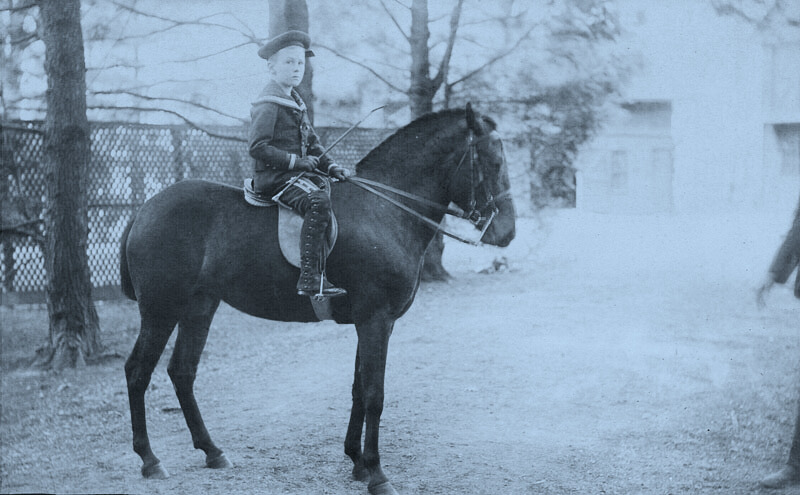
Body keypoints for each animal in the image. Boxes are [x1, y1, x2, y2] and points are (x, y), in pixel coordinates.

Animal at [120, 103, 516, 495]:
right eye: (494, 162)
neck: (384, 209)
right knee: (138, 371)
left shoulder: (371, 323)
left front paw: (357, 462)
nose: (507, 233)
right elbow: (374, 393)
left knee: (182, 371)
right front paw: (377, 474)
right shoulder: (375, 319)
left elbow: (358, 388)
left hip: (199, 308)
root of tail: (146, 208)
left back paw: (212, 451)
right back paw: (150, 459)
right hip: (160, 310)